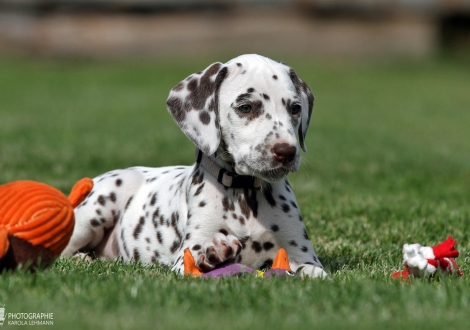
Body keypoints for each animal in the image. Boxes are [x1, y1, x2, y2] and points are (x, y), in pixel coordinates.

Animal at [61, 54, 326, 278]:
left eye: (295, 109)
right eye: (246, 107)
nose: (286, 152)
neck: (244, 195)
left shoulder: (304, 257)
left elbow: (314, 273)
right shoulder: (185, 259)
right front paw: (214, 256)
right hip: (98, 208)